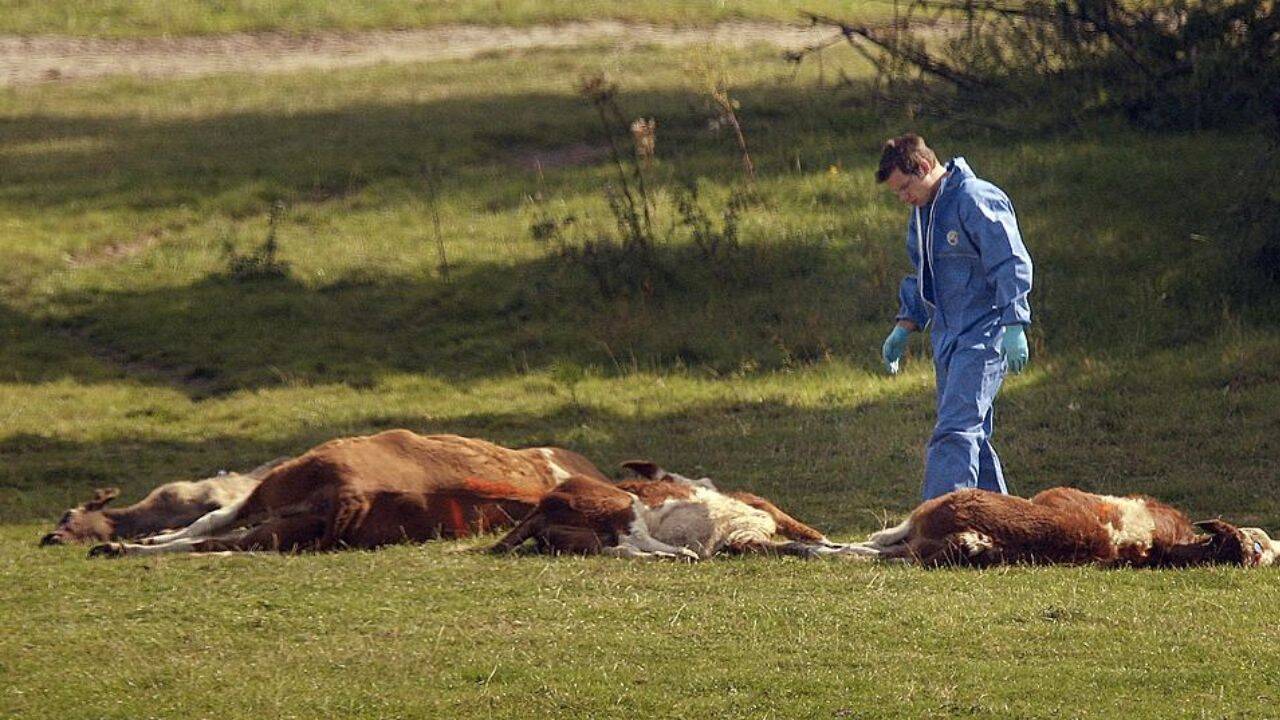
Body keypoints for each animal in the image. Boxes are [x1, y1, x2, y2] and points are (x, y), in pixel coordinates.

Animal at [486, 458, 839, 561]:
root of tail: (542, 506)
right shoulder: (753, 522)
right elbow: (803, 539)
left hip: (588, 539)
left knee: (621, 549)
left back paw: (672, 554)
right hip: (620, 505)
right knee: (631, 539)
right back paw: (683, 552)